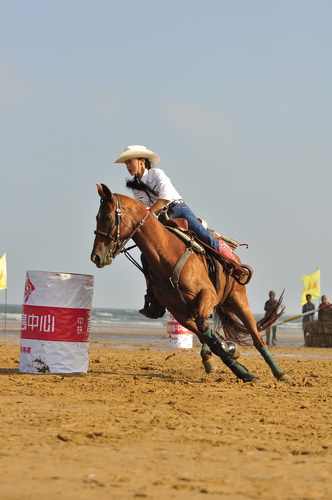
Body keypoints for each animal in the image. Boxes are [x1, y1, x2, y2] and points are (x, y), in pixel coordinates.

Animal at [91, 184, 290, 382]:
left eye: (108, 217)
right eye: (97, 217)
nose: (96, 257)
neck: (167, 253)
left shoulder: (208, 295)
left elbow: (207, 330)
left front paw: (236, 360)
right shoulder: (180, 313)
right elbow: (208, 337)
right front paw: (236, 364)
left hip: (238, 300)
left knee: (256, 336)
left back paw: (280, 373)